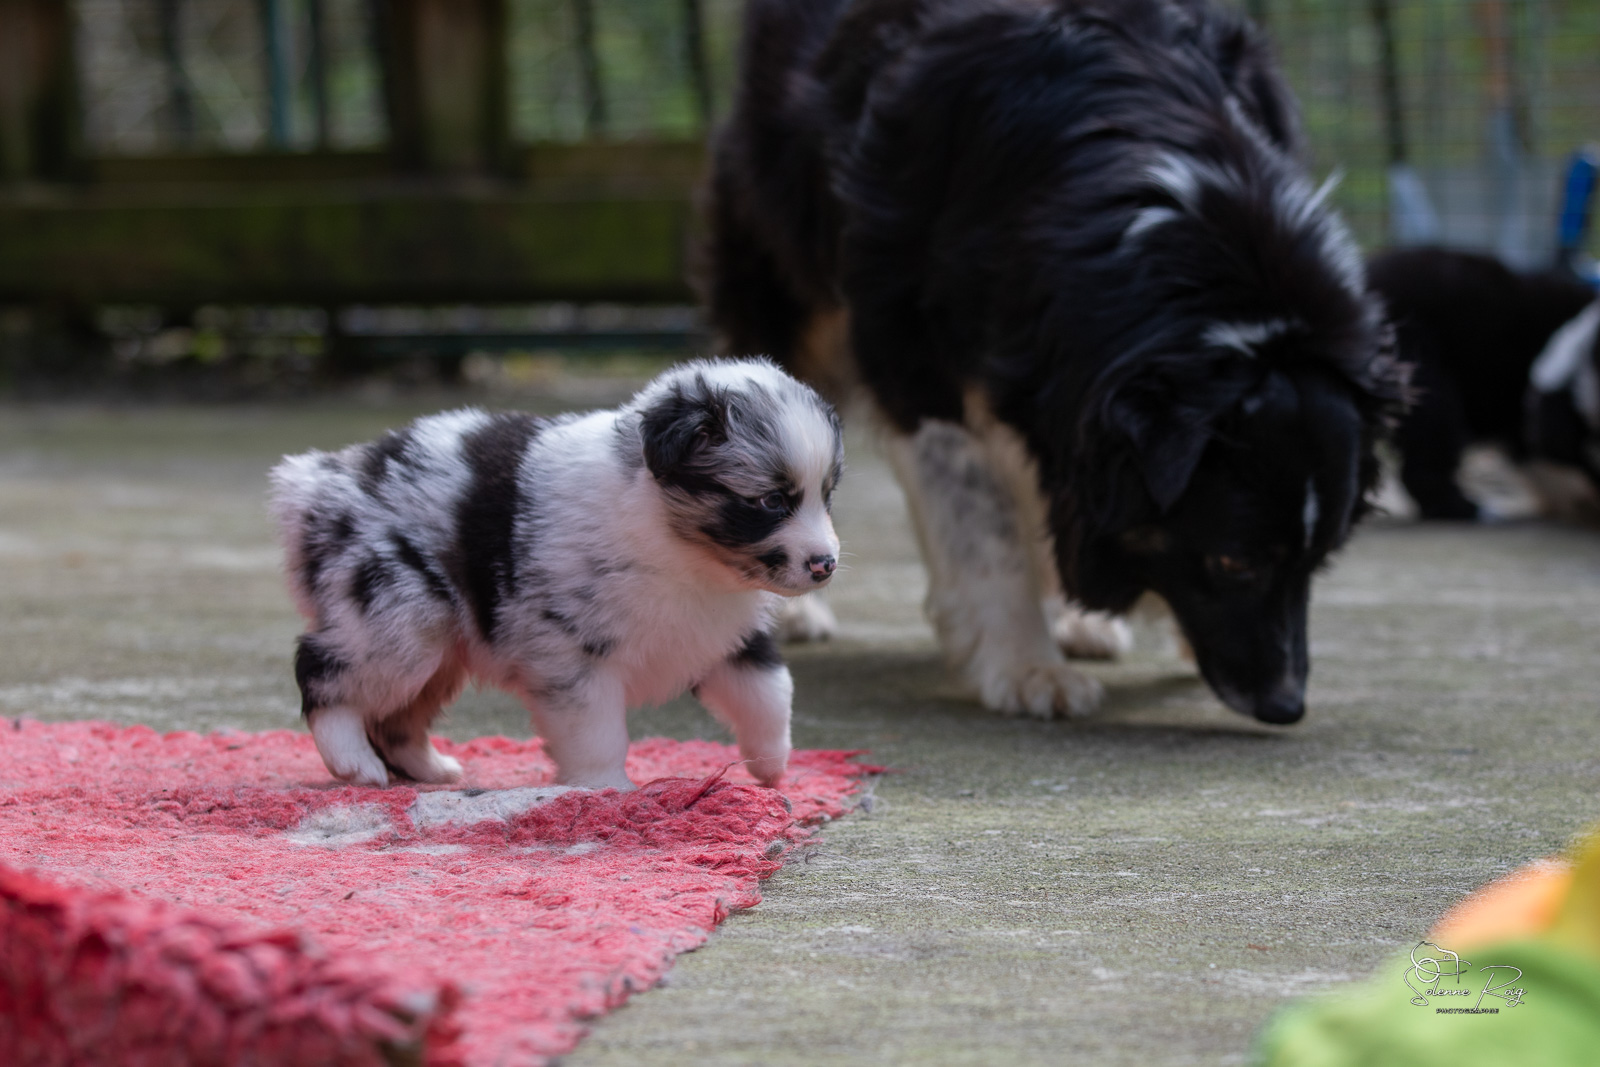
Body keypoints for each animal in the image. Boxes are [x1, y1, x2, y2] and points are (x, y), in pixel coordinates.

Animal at [269, 359, 843, 790]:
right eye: (770, 501)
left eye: (826, 495)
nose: (826, 565)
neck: (677, 547)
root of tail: (317, 482)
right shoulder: (574, 656)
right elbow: (597, 733)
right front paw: (607, 790)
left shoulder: (727, 636)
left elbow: (769, 694)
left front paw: (771, 767)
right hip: (398, 621)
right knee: (321, 670)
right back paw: (353, 762)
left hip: (439, 650)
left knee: (395, 720)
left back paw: (432, 769)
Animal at [703, 0, 1408, 725]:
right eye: (1234, 562)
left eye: (1320, 561)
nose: (1286, 704)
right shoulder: (918, 368)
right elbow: (986, 529)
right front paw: (1026, 667)